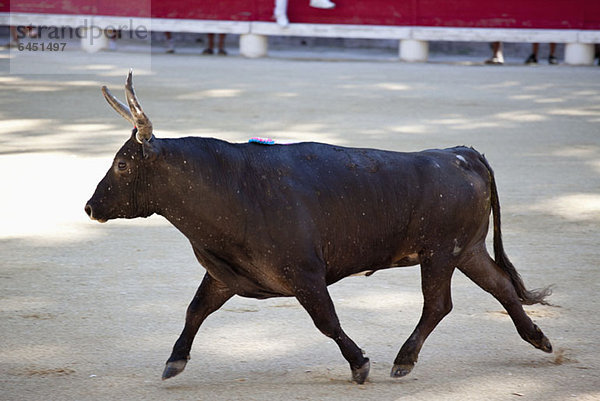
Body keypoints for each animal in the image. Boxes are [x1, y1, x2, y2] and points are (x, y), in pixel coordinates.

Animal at [85, 72, 552, 384]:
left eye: (122, 164)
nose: (90, 207)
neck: (234, 186)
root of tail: (462, 154)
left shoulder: (305, 276)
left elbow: (326, 320)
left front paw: (360, 364)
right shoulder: (224, 275)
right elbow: (195, 310)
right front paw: (174, 361)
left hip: (440, 253)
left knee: (438, 305)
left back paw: (404, 359)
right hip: (466, 249)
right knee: (501, 286)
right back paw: (538, 339)